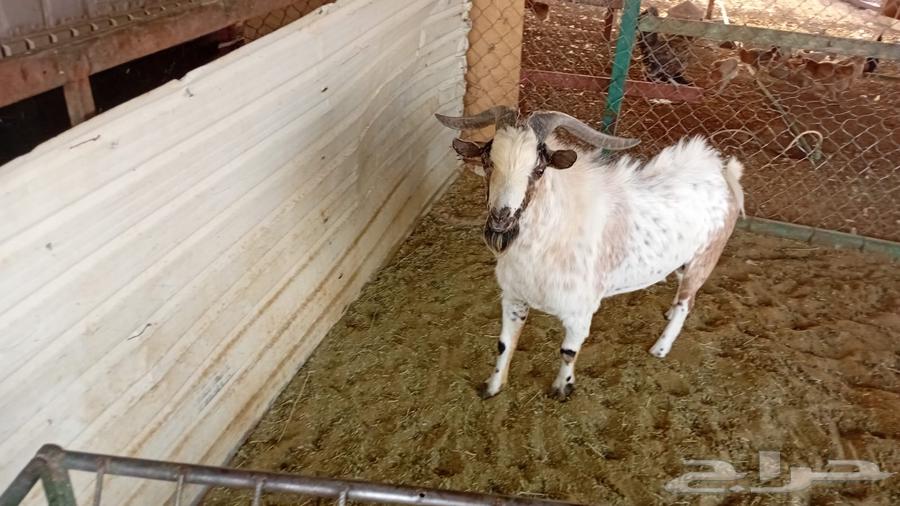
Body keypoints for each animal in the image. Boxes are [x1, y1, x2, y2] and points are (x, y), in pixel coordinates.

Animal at [435, 107, 744, 401]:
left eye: (539, 169)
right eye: (488, 162)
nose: (501, 218)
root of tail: (724, 172)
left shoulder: (580, 311)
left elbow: (568, 351)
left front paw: (562, 389)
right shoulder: (514, 297)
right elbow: (504, 344)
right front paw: (493, 387)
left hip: (704, 259)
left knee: (686, 303)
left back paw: (660, 348)